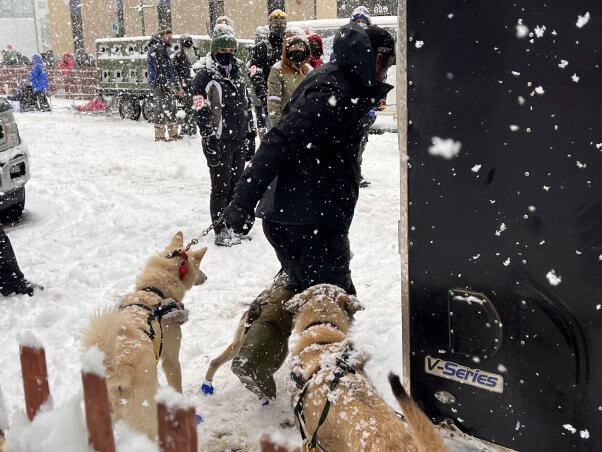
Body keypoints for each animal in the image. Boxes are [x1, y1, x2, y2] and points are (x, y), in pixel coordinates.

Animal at [82, 233, 207, 438]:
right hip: (148, 416)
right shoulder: (171, 360)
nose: (206, 277)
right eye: (198, 267)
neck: (153, 291)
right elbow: (177, 387)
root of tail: (117, 372)